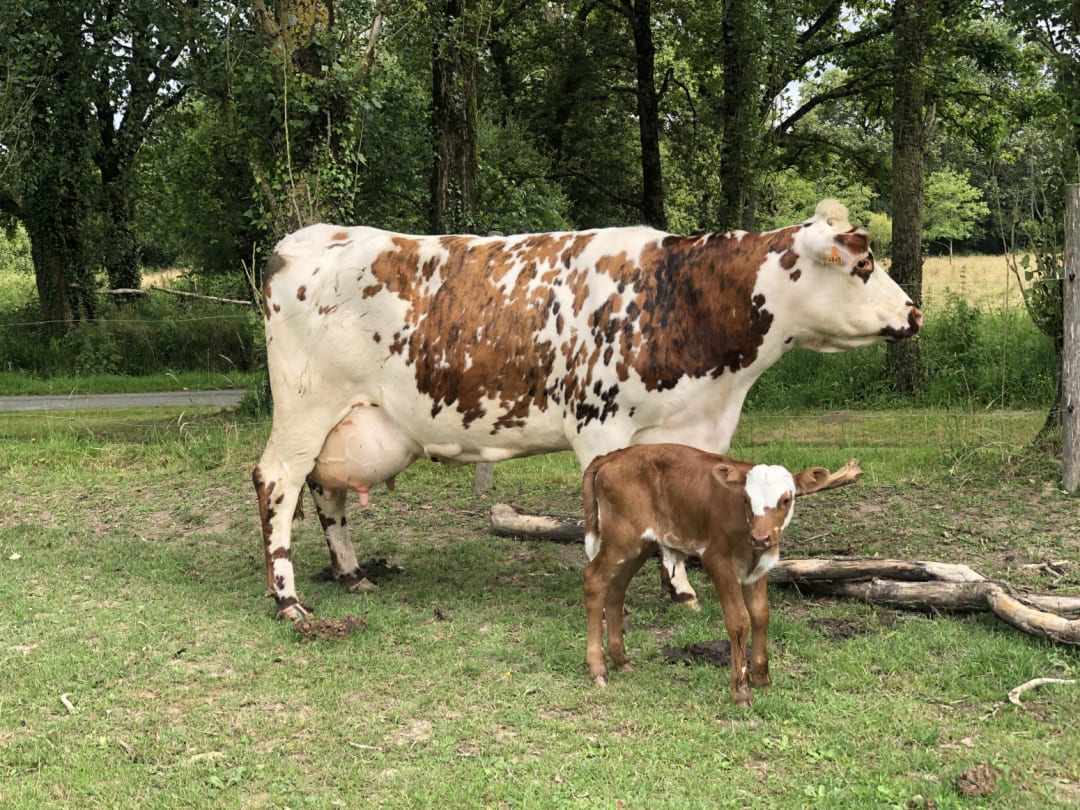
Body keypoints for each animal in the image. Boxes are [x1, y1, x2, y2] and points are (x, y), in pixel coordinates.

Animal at [253, 199, 921, 619]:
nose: (914, 312)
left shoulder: (687, 430)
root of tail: (308, 238)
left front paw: (680, 590)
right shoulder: (602, 428)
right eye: (864, 264)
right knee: (277, 483)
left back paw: (351, 573)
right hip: (304, 410)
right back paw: (288, 600)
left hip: (347, 422)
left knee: (326, 493)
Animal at [582, 443, 834, 706]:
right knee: (594, 579)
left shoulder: (759, 567)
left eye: (785, 500)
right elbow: (739, 620)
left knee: (617, 587)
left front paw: (762, 678)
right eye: (746, 499)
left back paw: (621, 660)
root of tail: (615, 454)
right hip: (622, 538)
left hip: (641, 544)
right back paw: (598, 668)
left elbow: (760, 615)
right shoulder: (718, 562)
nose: (761, 538)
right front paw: (741, 690)